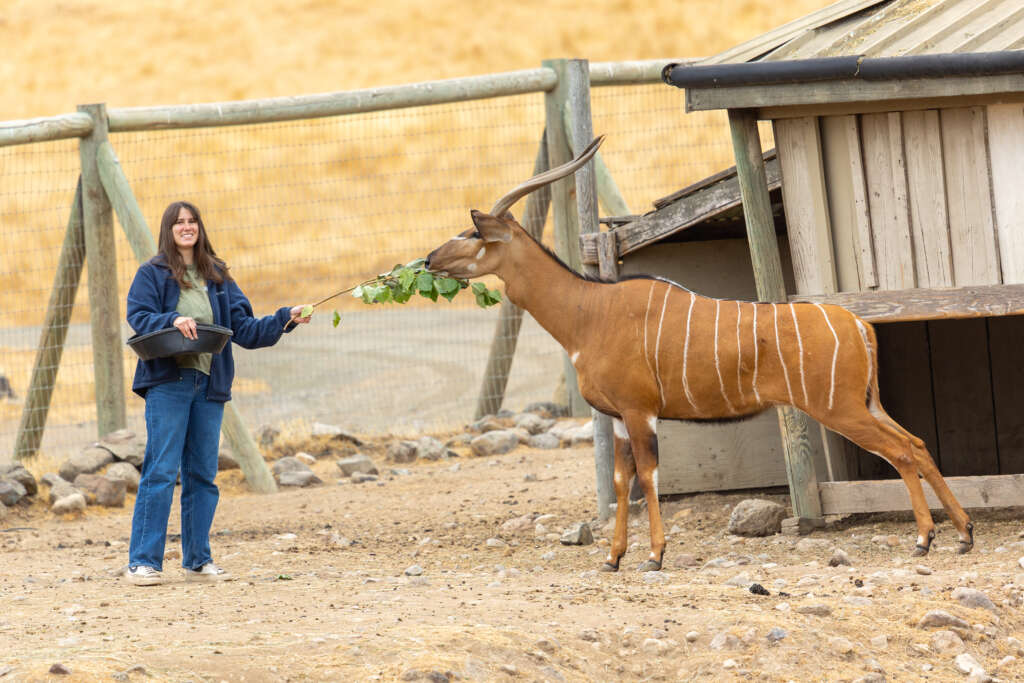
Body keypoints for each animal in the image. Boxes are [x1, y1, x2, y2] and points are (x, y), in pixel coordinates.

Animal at [425, 137, 974, 572]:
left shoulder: (639, 411)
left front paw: (653, 555)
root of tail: (858, 325)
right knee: (916, 443)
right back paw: (964, 533)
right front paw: (612, 557)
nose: (429, 258)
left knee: (900, 450)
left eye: (471, 233)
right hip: (865, 404)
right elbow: (623, 481)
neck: (589, 313)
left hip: (839, 408)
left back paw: (925, 539)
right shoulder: (619, 418)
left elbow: (648, 476)